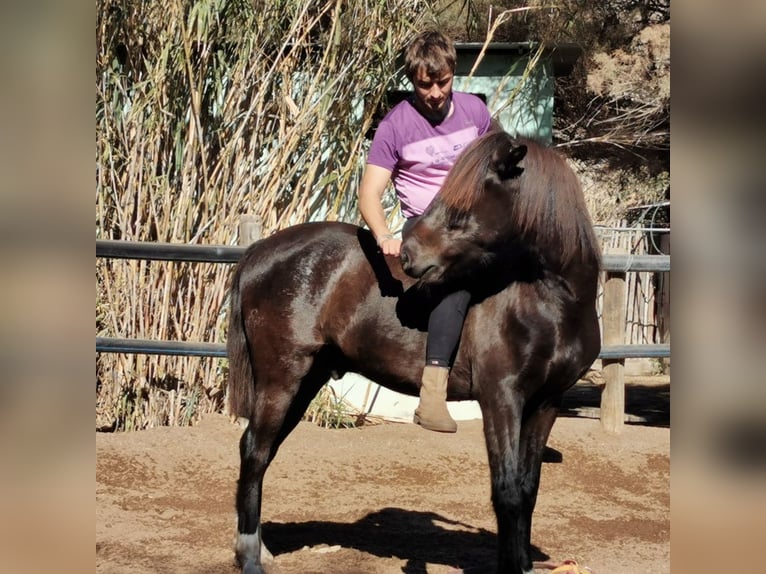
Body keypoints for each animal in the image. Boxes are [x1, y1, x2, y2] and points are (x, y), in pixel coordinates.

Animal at [225, 132, 604, 574]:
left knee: (262, 451)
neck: (551, 300)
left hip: (305, 381)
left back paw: (260, 547)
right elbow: (507, 491)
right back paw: (251, 557)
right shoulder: (501, 399)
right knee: (254, 451)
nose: (408, 255)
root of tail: (260, 249)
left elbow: (528, 489)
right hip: (281, 378)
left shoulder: (546, 403)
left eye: (465, 202)